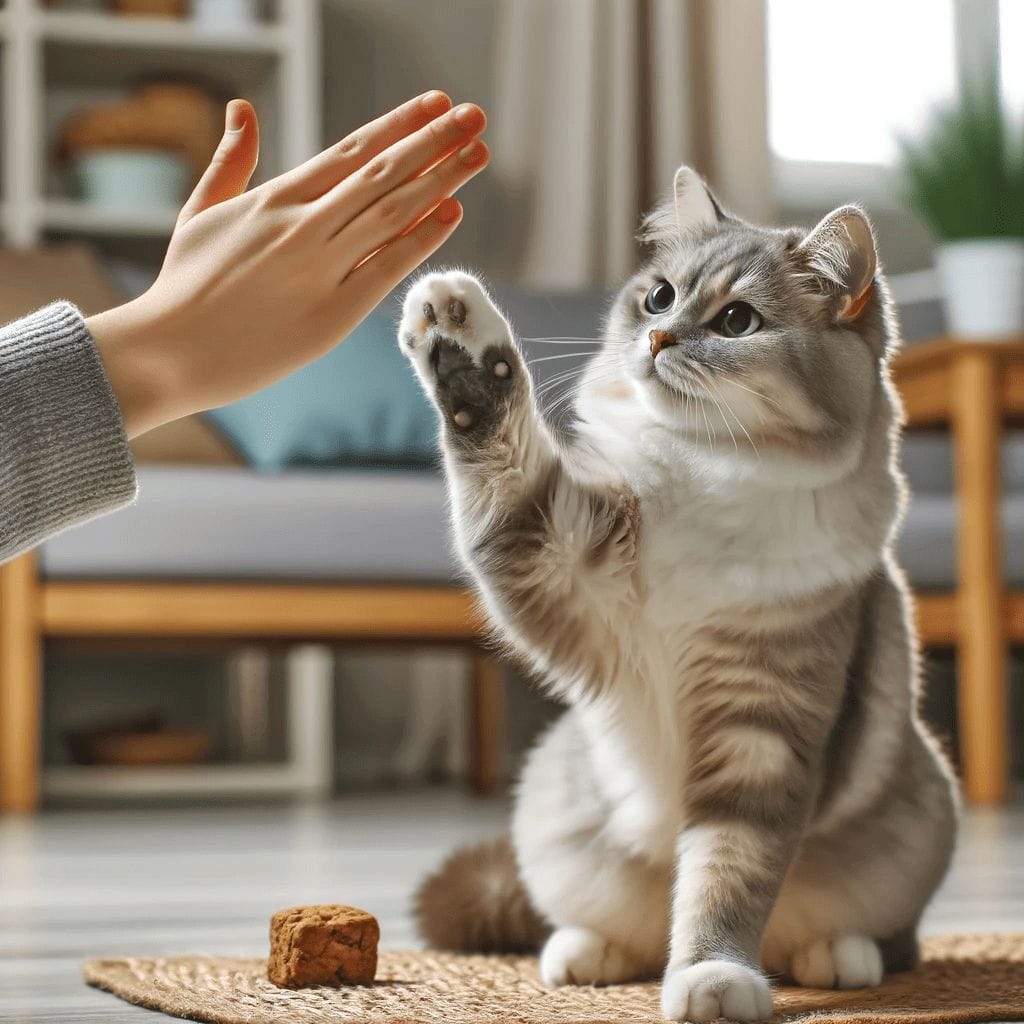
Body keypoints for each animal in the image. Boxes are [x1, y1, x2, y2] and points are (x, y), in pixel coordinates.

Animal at [399, 167, 958, 1024]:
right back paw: (580, 955)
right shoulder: (556, 558)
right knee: (603, 924)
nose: (658, 338)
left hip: (920, 819)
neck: (707, 471)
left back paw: (838, 959)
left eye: (736, 321)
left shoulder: (761, 734)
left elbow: (725, 878)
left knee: (883, 941)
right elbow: (495, 436)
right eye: (658, 297)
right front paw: (458, 333)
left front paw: (712, 979)